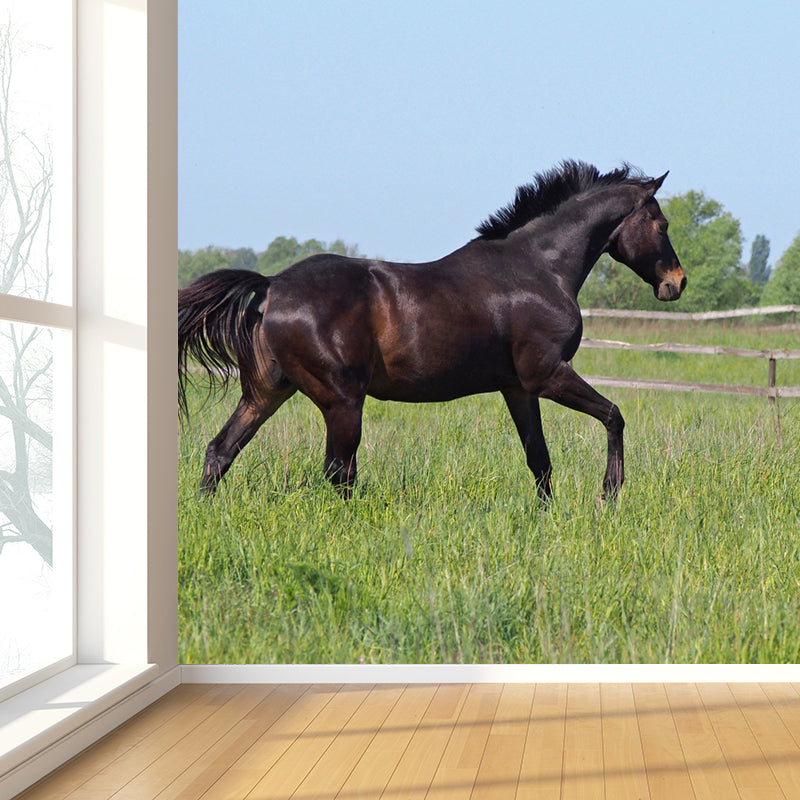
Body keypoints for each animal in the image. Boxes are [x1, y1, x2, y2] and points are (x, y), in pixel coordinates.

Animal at [178, 160, 686, 501]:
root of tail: (273, 287)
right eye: (661, 222)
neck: (538, 268)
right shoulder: (547, 374)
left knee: (221, 451)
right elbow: (614, 415)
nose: (675, 283)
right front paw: (610, 493)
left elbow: (539, 459)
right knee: (338, 472)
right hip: (341, 401)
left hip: (268, 391)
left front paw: (549, 516)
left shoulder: (519, 388)